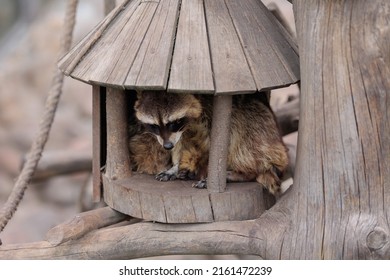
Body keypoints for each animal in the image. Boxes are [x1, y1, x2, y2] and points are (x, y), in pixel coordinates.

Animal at [135, 91, 290, 196]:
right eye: (154, 126)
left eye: (174, 122)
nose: (167, 146)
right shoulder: (181, 132)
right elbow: (181, 142)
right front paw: (176, 166)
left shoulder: (211, 114)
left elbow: (215, 146)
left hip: (266, 138)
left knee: (245, 129)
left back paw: (245, 173)